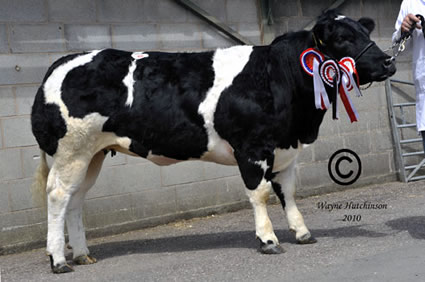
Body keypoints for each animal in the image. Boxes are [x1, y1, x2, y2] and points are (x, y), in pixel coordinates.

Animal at [31, 10, 396, 274]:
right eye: (343, 38)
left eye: (365, 33)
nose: (389, 61)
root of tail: (62, 63)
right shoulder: (252, 148)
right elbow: (261, 194)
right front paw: (268, 240)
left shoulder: (285, 149)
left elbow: (289, 193)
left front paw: (302, 232)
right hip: (71, 150)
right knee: (58, 196)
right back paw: (58, 260)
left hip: (91, 154)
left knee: (75, 200)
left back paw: (82, 255)